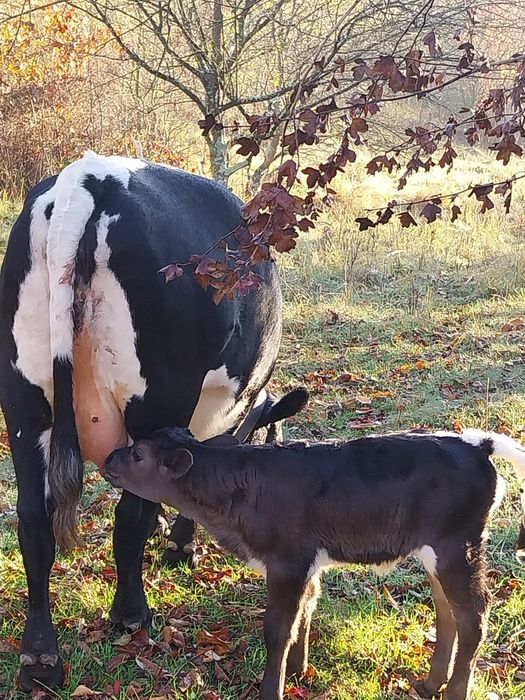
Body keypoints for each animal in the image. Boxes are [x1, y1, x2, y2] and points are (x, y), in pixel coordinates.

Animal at [0, 151, 295, 690]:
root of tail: (91, 177)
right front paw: (179, 545)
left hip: (24, 405)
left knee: (33, 519)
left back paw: (40, 656)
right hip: (156, 402)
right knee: (128, 515)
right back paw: (131, 613)